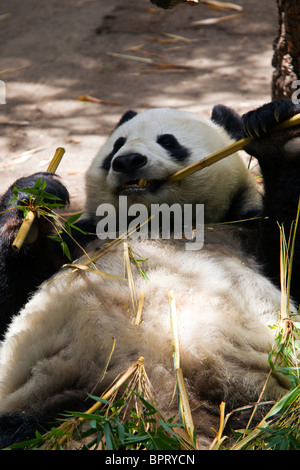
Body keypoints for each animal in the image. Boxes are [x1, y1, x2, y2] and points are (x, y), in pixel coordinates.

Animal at [0, 99, 298, 448]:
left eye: (168, 141)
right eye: (117, 144)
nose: (128, 161)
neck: (161, 223)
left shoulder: (240, 230)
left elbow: (286, 250)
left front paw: (278, 137)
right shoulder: (78, 242)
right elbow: (12, 296)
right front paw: (30, 201)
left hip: (254, 395)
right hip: (59, 397)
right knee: (21, 426)